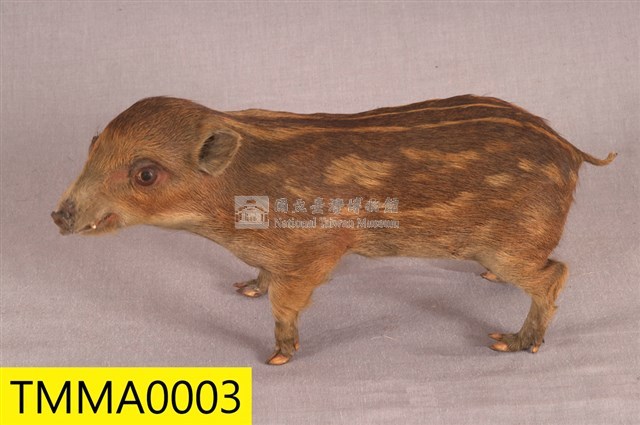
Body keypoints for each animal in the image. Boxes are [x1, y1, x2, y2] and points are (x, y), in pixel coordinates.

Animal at [52, 95, 616, 365]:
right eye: (93, 144)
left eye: (145, 175)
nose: (59, 216)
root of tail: (572, 150)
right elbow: (263, 280)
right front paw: (246, 288)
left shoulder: (317, 245)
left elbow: (287, 303)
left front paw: (277, 356)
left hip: (513, 243)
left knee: (554, 273)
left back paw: (510, 343)